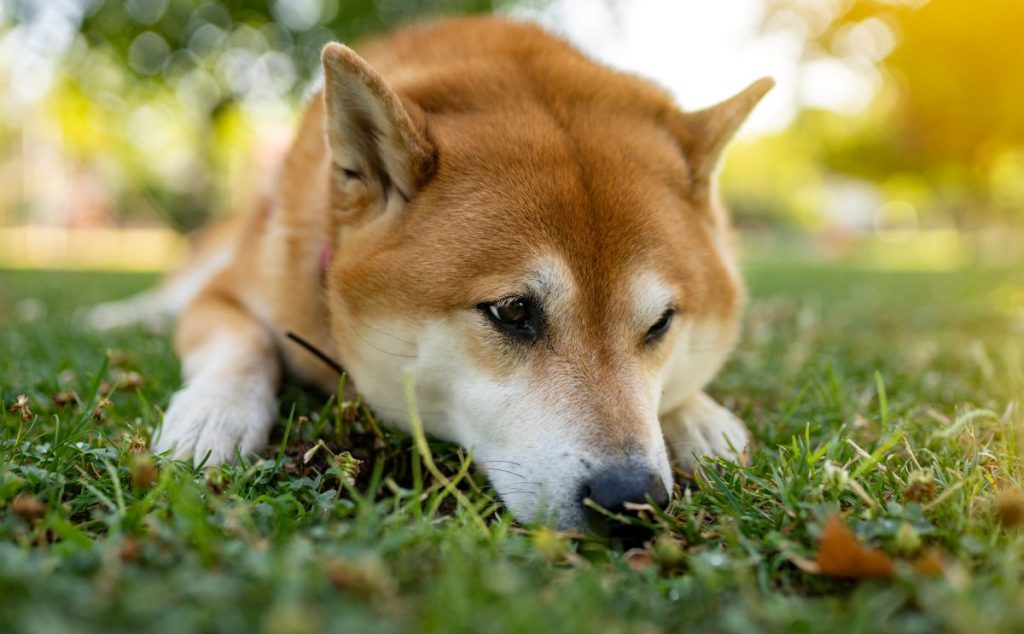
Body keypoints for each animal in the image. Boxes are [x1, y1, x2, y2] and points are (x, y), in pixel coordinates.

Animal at [92, 14, 770, 532]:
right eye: (513, 311)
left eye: (660, 323)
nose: (630, 500)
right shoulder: (228, 295)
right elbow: (244, 343)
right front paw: (213, 413)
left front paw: (701, 418)